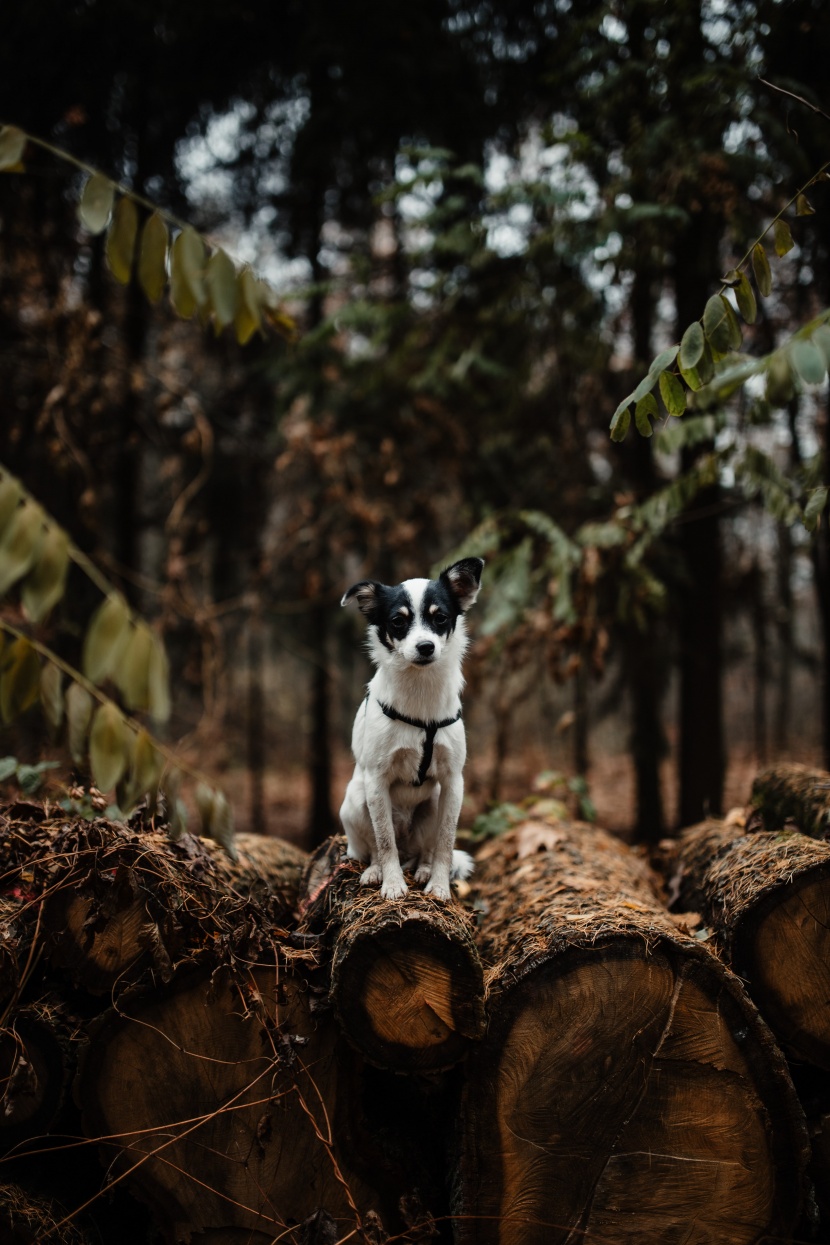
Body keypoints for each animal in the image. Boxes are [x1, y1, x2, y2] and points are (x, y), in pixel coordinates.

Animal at [338, 560, 482, 901]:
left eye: (440, 617)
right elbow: (384, 840)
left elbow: (445, 843)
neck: (420, 691)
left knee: (425, 851)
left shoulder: (453, 782)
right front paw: (392, 884)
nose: (425, 646)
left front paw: (440, 885)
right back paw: (375, 871)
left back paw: (424, 869)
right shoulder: (376, 780)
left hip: (434, 802)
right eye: (397, 621)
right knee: (377, 846)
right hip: (357, 798)